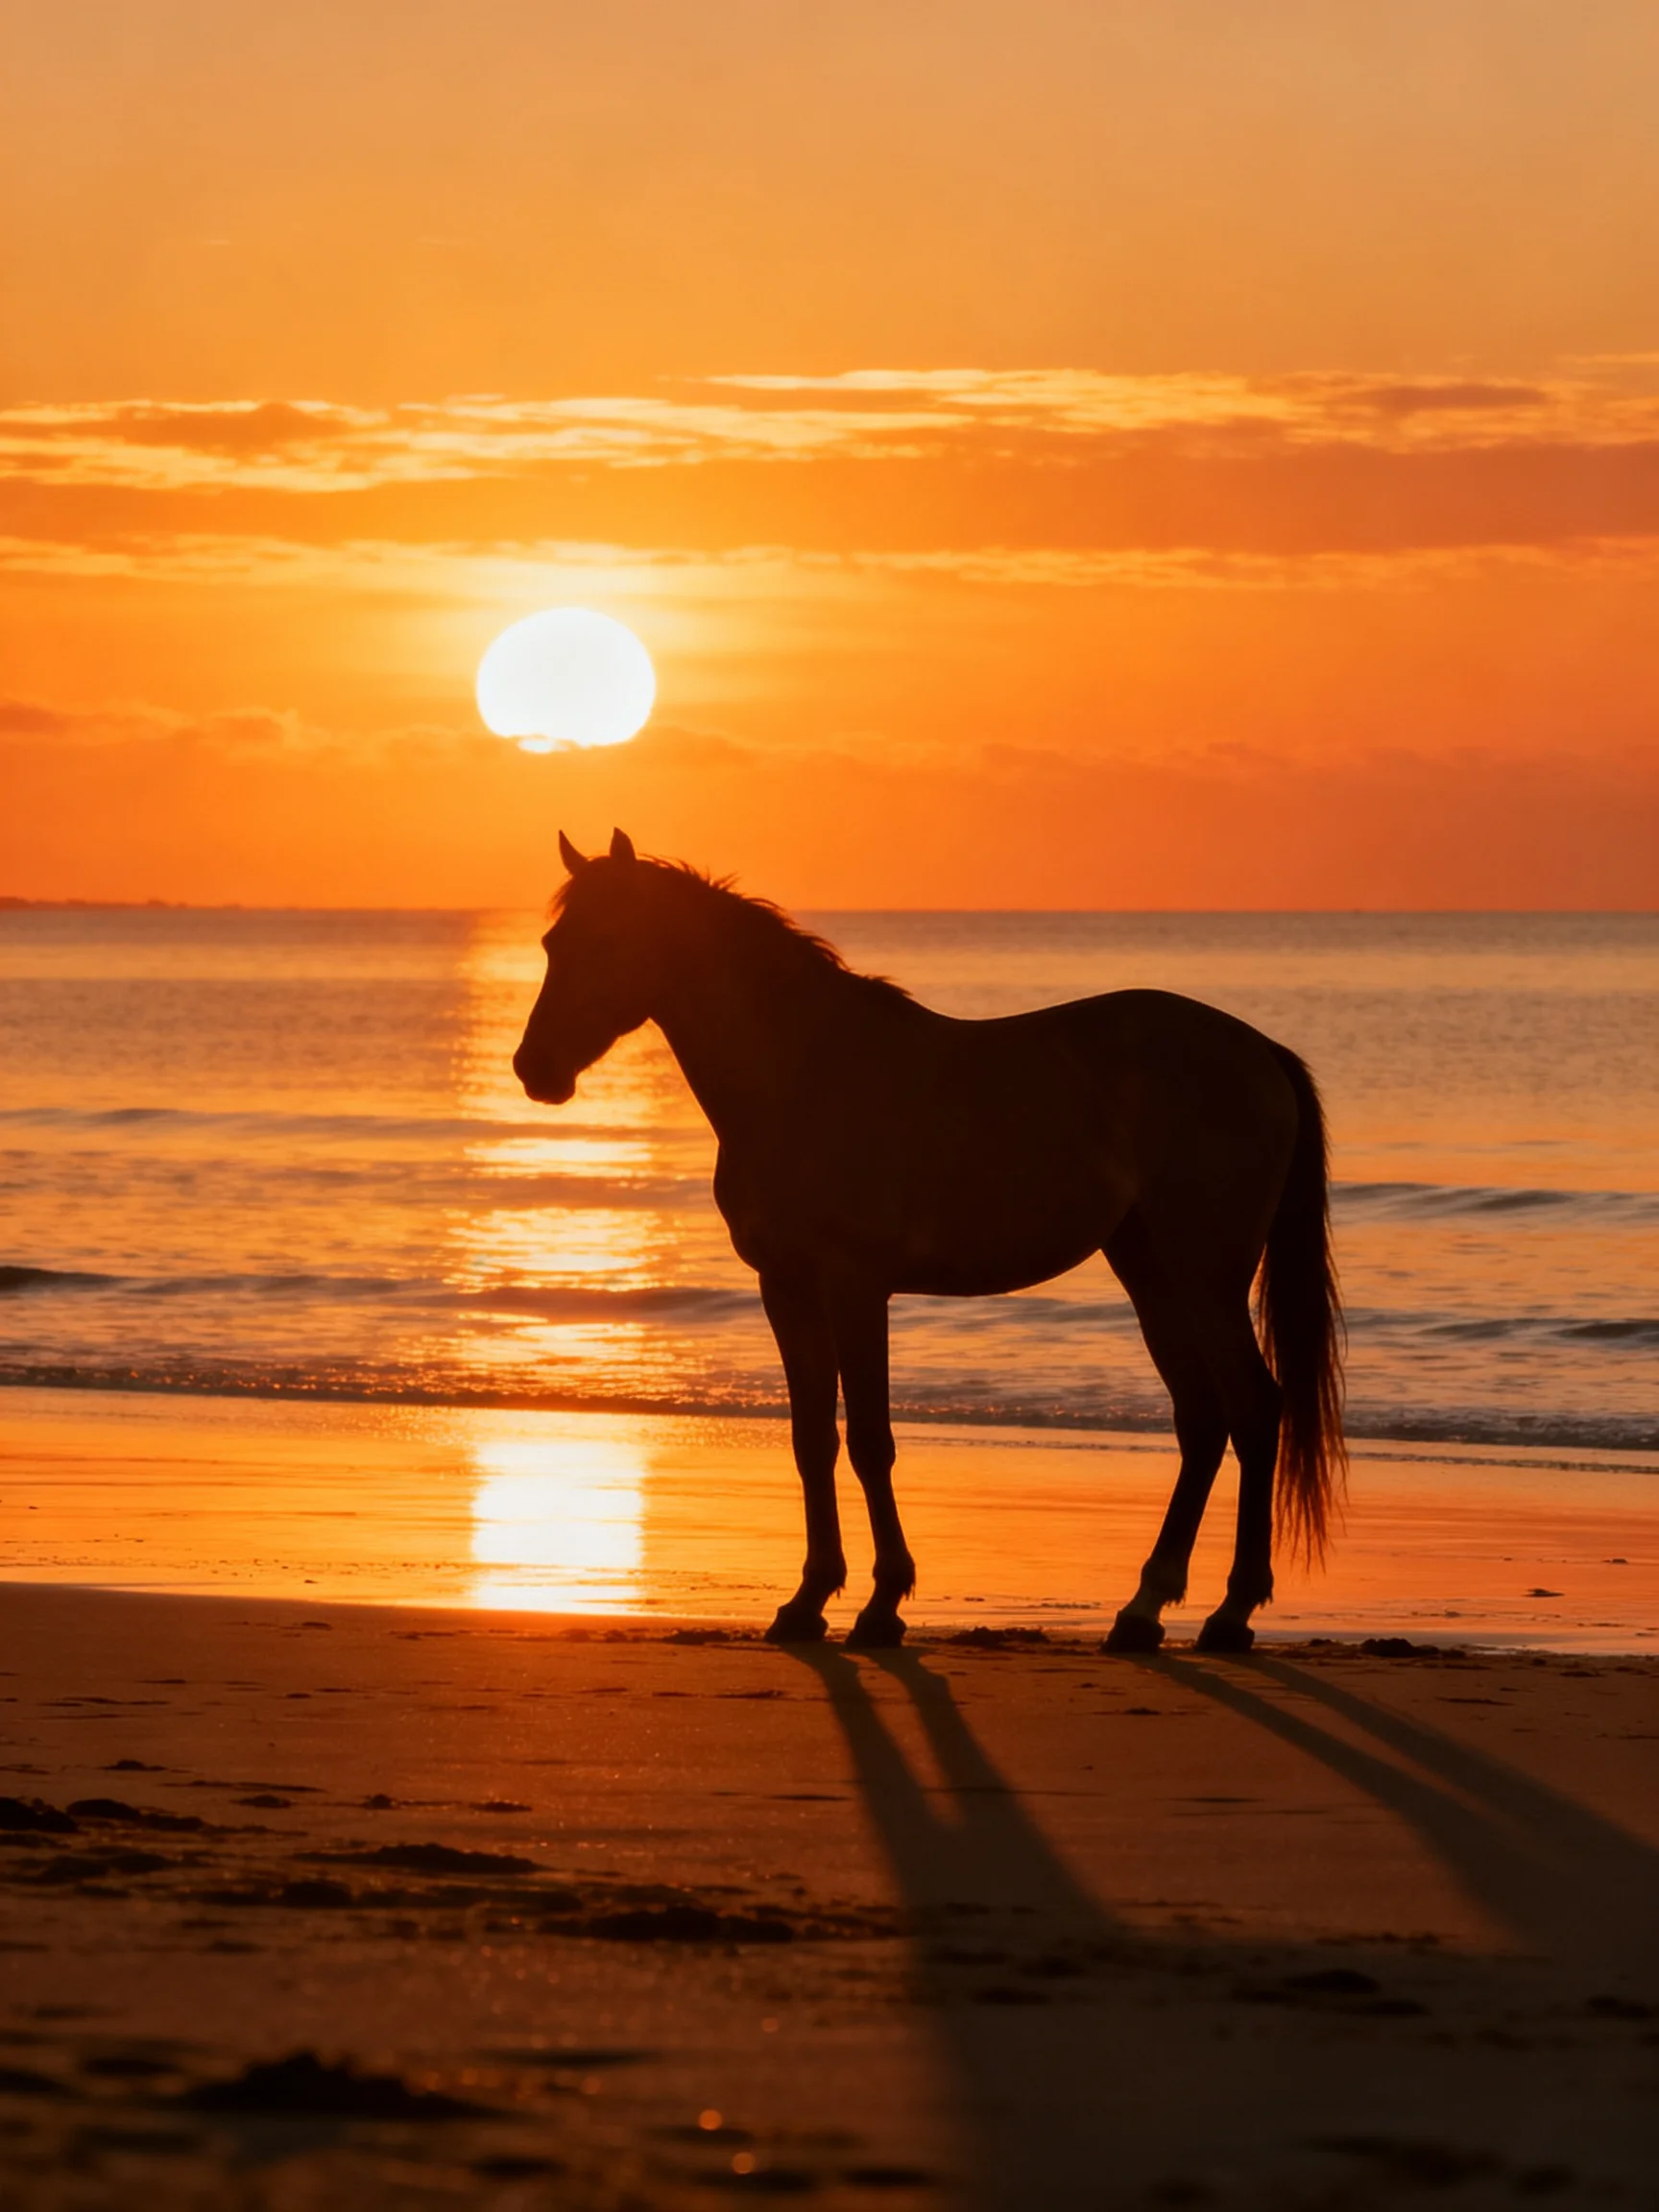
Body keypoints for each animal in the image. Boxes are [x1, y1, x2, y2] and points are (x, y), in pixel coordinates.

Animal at [513, 829, 1345, 1655]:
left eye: (609, 940)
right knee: (1203, 1418)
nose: (535, 1069)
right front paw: (807, 1600)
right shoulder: (785, 1288)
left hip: (1206, 1275)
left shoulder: (855, 1286)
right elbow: (811, 1441)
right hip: (1150, 1269)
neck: (802, 1075)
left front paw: (883, 1604)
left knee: (1253, 1408)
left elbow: (869, 1440)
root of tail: (1258, 1051)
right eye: (553, 942)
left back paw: (1231, 1612)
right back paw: (1142, 1611)